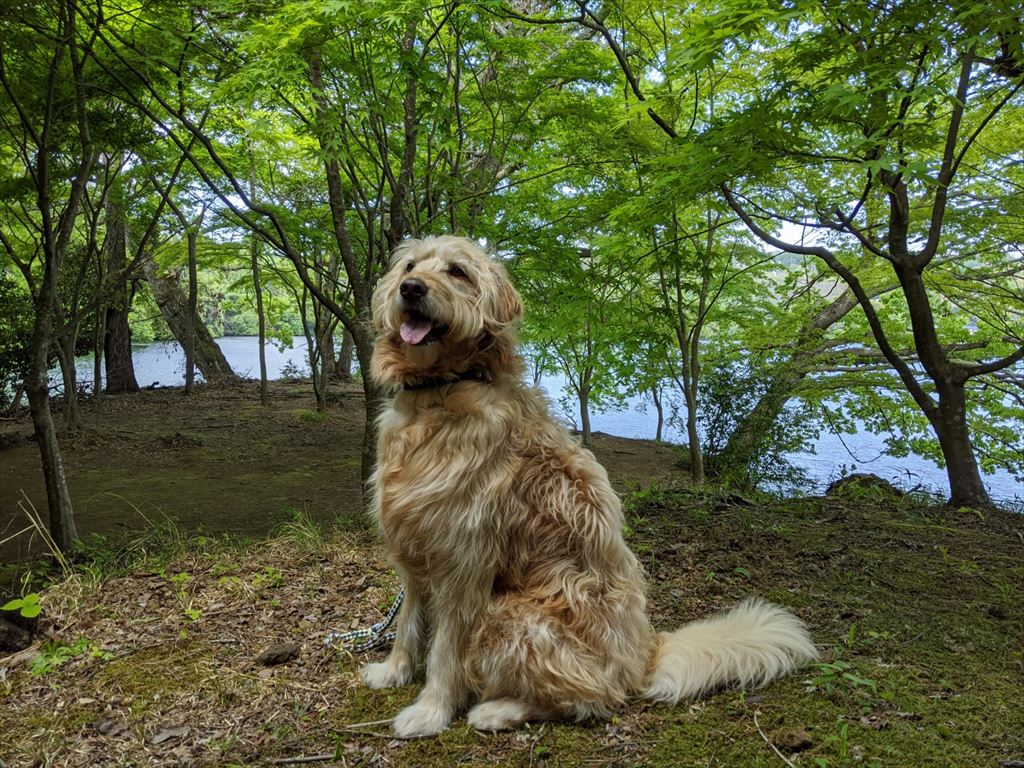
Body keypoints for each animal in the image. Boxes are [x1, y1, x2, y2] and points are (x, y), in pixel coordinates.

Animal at [364, 236, 819, 741]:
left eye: (457, 271)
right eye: (410, 266)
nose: (410, 289)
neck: (439, 393)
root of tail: (644, 656)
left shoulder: (464, 561)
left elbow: (446, 647)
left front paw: (432, 710)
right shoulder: (414, 550)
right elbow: (407, 622)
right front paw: (394, 670)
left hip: (512, 614)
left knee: (591, 699)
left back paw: (499, 709)